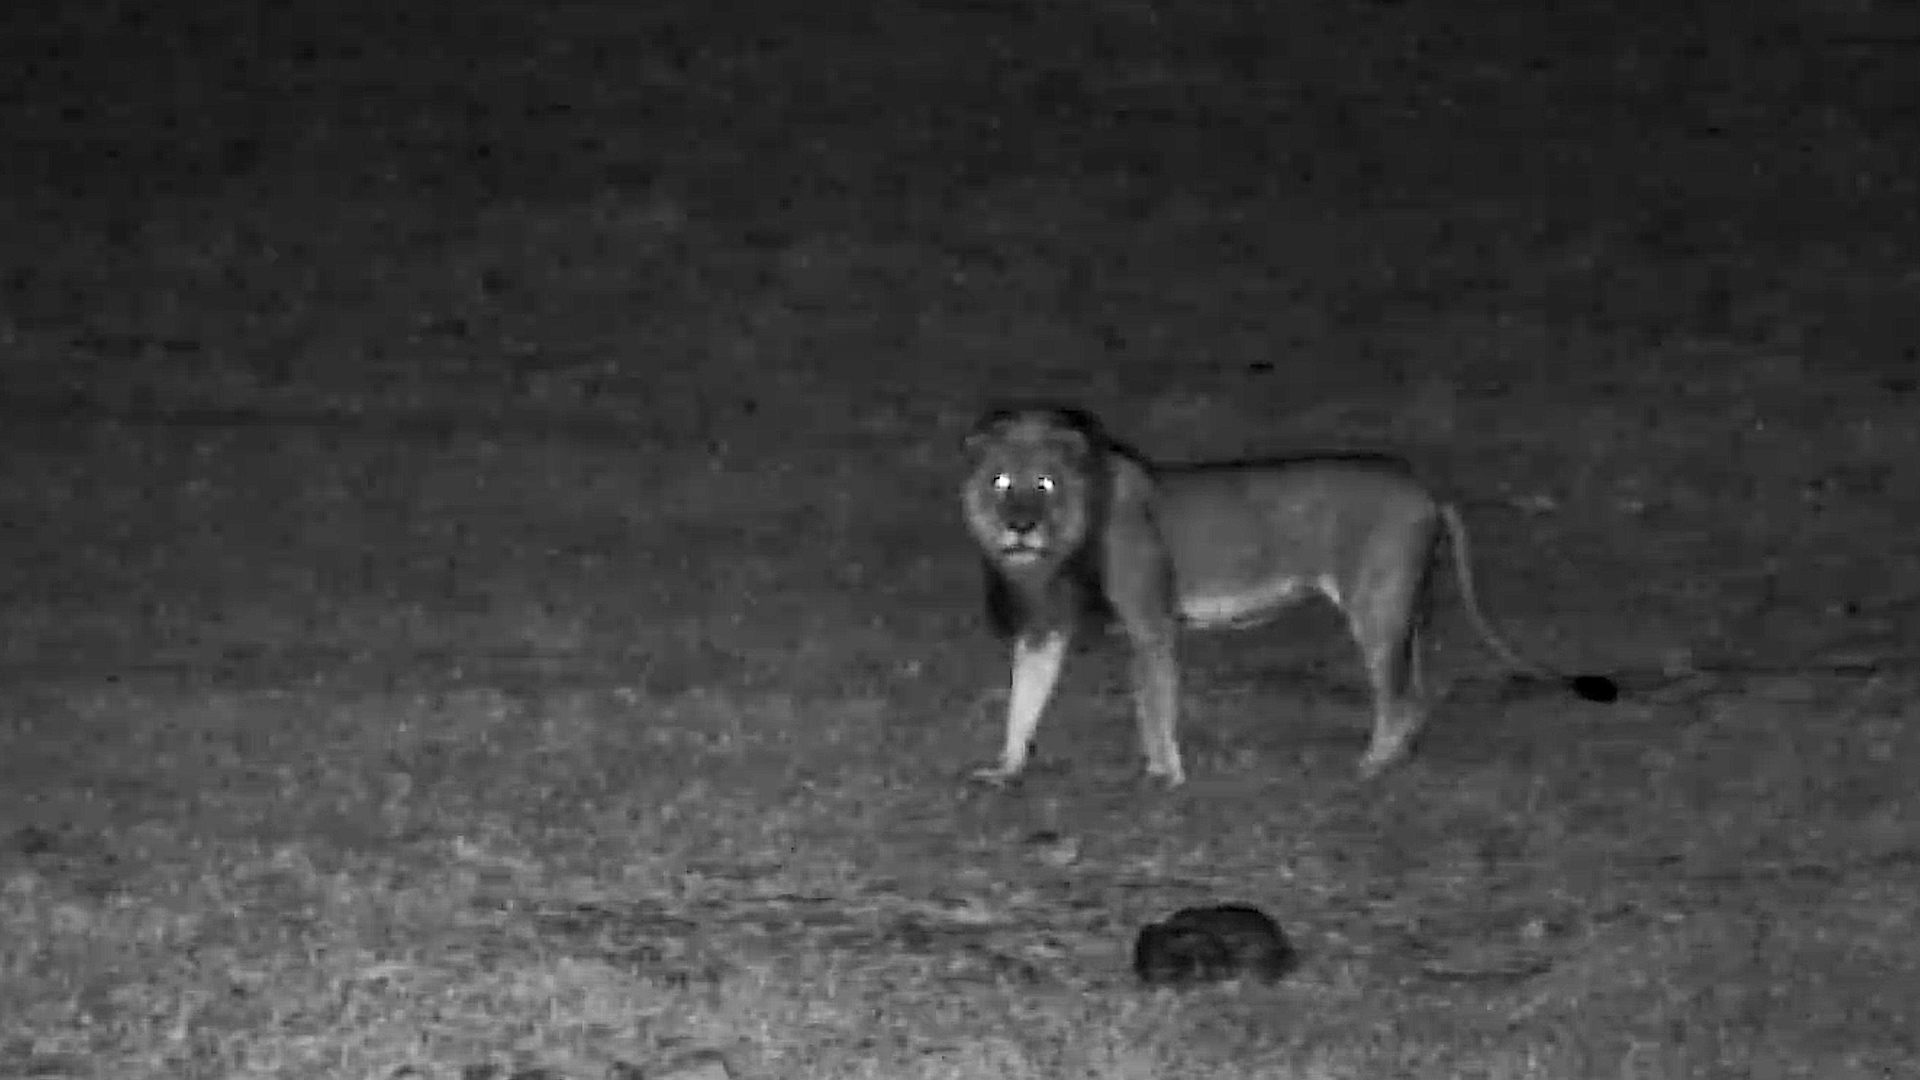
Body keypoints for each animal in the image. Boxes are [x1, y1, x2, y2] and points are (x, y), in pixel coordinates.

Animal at [959, 404, 1617, 788]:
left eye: (1044, 485)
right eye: (1002, 483)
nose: (1020, 527)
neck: (1063, 543)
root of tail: (1427, 490)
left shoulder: (1151, 623)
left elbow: (1153, 703)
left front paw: (1164, 773)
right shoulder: (1046, 627)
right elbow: (1024, 699)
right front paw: (1005, 768)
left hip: (1377, 606)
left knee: (1399, 698)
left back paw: (1370, 767)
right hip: (1408, 609)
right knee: (1416, 694)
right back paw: (1397, 759)